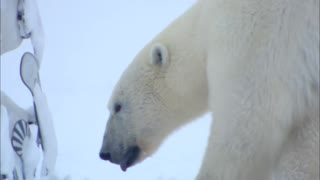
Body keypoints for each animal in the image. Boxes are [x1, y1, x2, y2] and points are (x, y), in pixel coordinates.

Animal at [99, 0, 318, 179]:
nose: (104, 153)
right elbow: (305, 142)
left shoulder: (255, 37)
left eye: (117, 106)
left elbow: (245, 129)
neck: (204, 25)